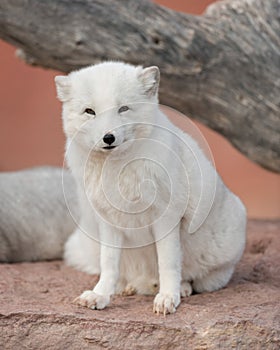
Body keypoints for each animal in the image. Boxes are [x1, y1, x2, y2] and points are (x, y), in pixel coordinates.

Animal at [55, 61, 247, 316]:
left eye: (123, 109)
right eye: (90, 111)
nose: (108, 137)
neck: (118, 170)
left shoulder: (166, 217)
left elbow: (168, 262)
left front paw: (167, 297)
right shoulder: (108, 221)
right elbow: (109, 264)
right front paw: (100, 294)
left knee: (196, 279)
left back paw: (181, 288)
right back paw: (128, 287)